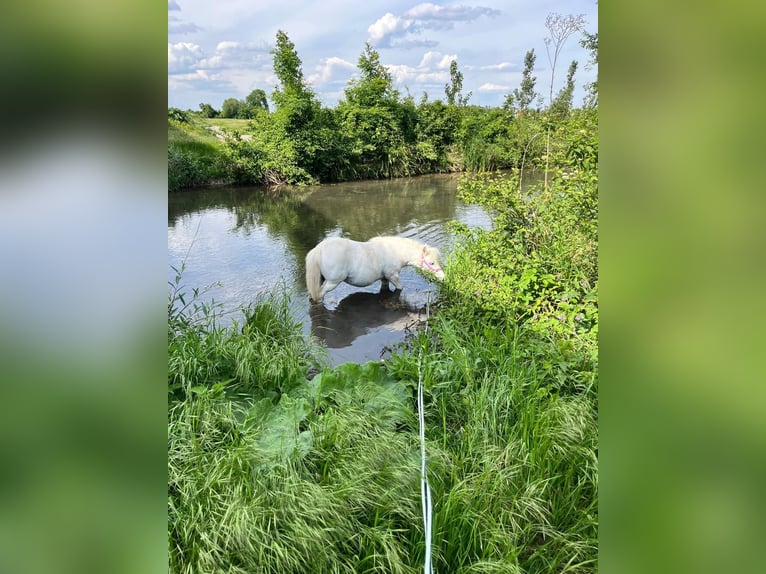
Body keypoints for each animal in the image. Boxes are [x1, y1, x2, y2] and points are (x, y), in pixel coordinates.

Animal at [305, 236, 444, 303]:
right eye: (431, 263)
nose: (443, 278)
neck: (396, 252)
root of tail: (318, 249)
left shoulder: (385, 279)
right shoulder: (393, 276)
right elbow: (400, 288)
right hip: (332, 282)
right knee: (319, 295)